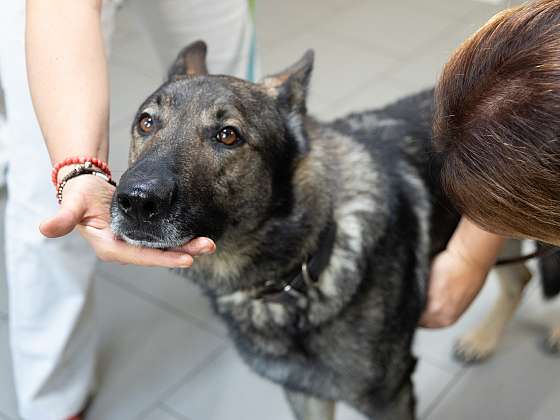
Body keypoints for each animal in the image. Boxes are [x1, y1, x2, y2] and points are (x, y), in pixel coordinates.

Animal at [108, 40, 544, 420]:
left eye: (228, 135)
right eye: (146, 123)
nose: (136, 201)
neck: (296, 271)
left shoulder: (390, 397)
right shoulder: (305, 393)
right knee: (520, 277)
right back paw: (483, 340)